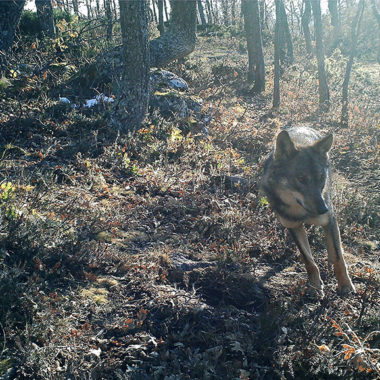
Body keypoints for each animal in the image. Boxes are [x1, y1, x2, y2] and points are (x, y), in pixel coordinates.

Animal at [262, 126, 356, 296]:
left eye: (321, 178)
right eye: (301, 179)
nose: (323, 209)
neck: (302, 212)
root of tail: (304, 126)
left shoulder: (329, 219)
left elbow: (338, 257)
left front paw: (345, 285)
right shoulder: (293, 226)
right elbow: (309, 260)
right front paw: (315, 287)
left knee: (335, 246)